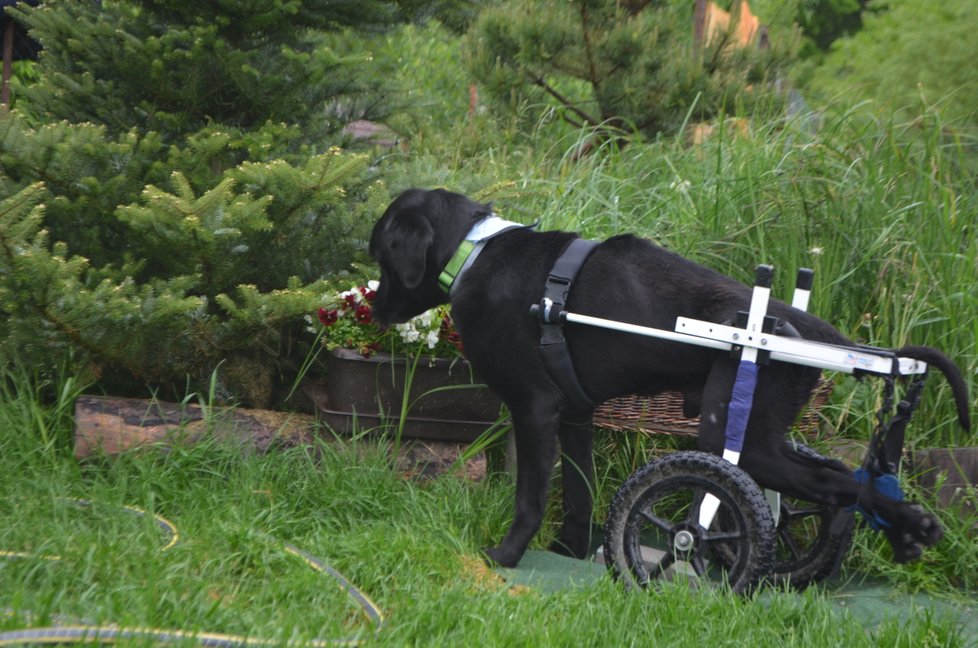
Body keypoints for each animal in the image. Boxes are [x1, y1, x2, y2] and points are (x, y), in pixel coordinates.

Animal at [368, 187, 968, 568]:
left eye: (379, 255)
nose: (372, 310)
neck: (475, 253)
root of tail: (814, 328)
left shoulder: (534, 409)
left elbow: (530, 498)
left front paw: (507, 556)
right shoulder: (575, 416)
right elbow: (580, 495)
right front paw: (572, 554)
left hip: (736, 435)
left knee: (842, 485)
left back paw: (911, 527)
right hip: (759, 435)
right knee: (835, 484)